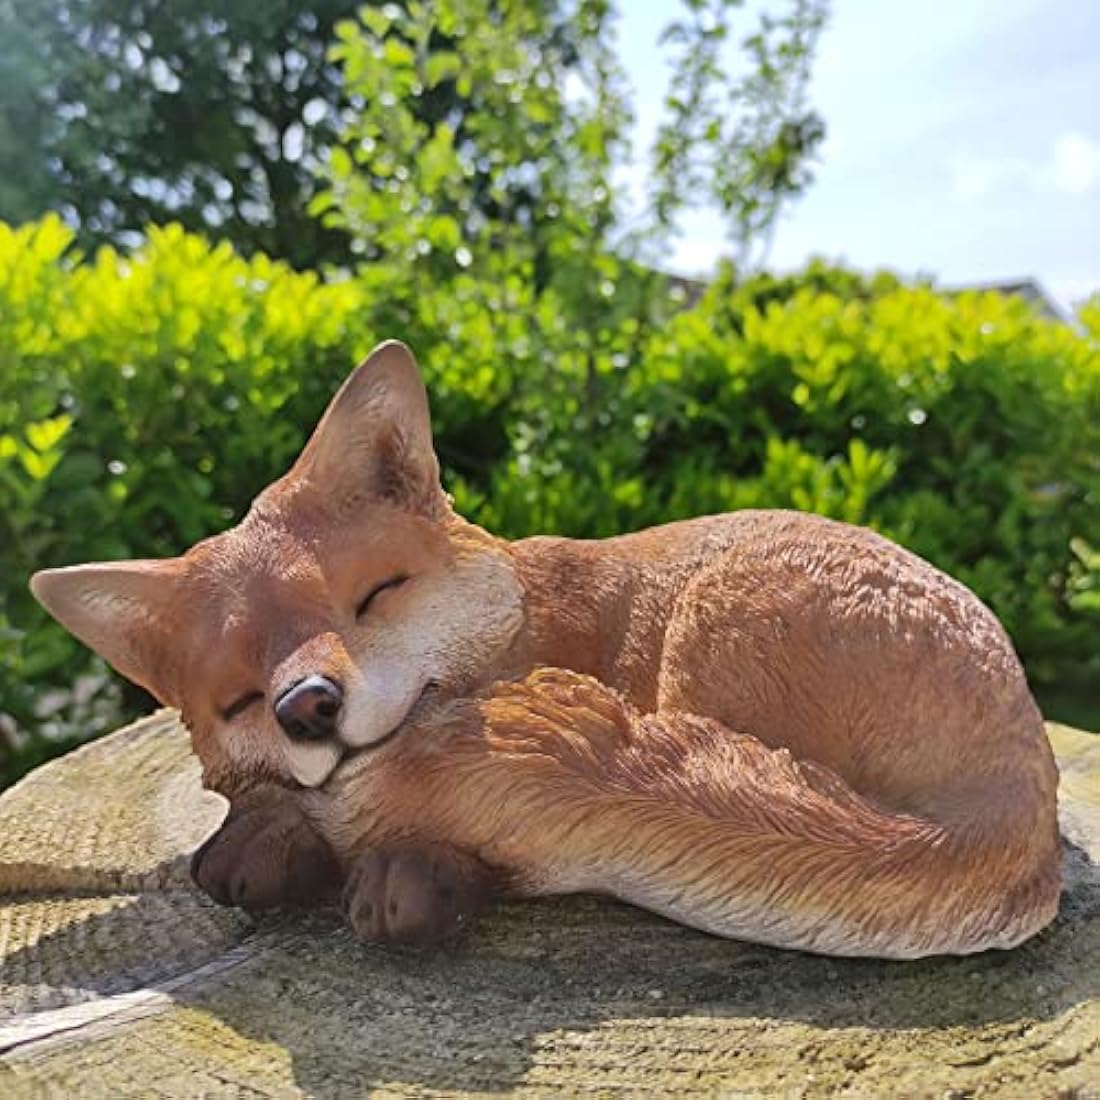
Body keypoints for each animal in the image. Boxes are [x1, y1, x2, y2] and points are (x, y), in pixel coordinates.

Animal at [30, 340, 1062, 958]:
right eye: (241, 695)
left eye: (371, 597)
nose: (308, 706)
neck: (533, 621)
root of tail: (1017, 797)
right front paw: (272, 841)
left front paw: (401, 871)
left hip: (709, 626)